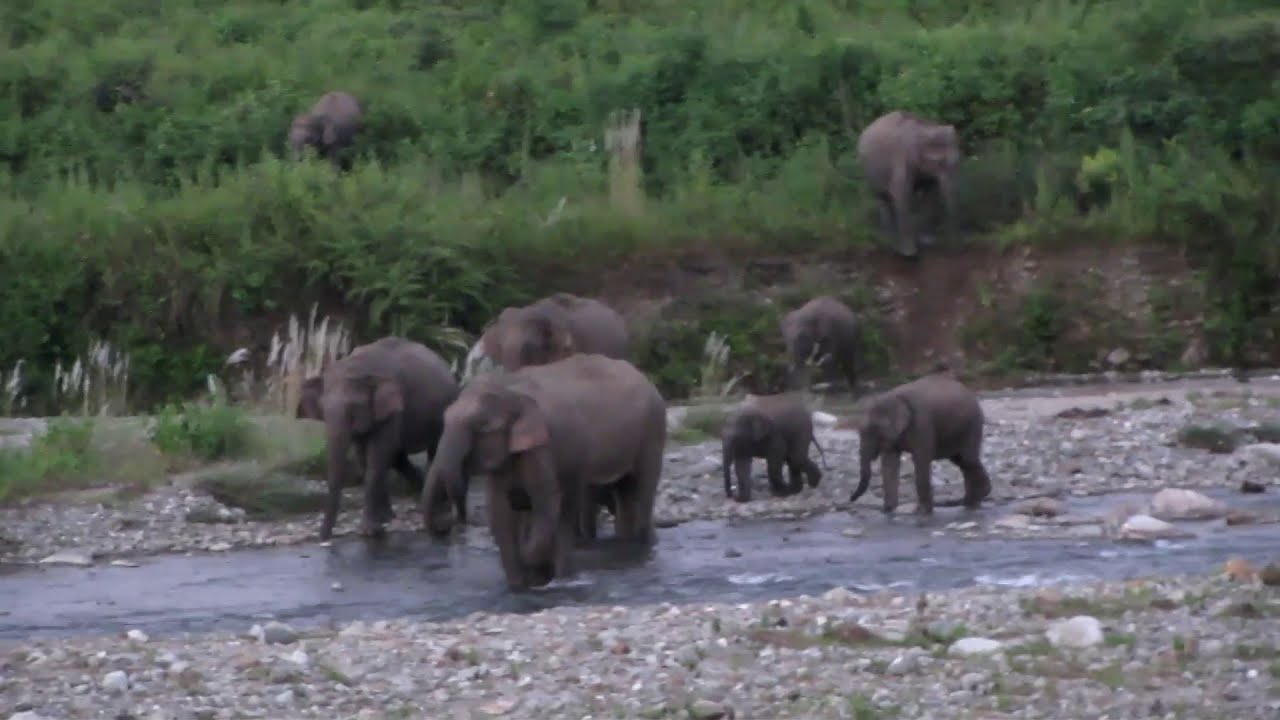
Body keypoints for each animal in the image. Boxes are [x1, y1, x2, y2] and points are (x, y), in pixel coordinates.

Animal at [295, 336, 461, 540]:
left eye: (353, 409)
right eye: (323, 410)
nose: (323, 538)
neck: (357, 367)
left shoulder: (394, 408)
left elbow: (377, 457)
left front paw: (369, 531)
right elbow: (365, 458)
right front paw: (385, 519)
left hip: (446, 408)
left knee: (433, 451)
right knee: (398, 458)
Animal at [421, 353, 666, 590]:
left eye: (482, 427)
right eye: (444, 418)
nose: (445, 525)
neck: (510, 388)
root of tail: (645, 378)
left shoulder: (544, 449)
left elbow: (545, 504)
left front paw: (535, 568)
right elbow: (500, 513)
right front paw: (519, 586)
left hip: (652, 432)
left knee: (637, 492)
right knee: (622, 494)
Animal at [847, 372, 992, 515]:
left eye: (876, 429)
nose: (850, 499)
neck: (894, 397)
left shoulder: (922, 423)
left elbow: (920, 460)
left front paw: (922, 512)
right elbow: (889, 463)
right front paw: (888, 510)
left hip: (972, 425)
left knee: (968, 460)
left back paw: (979, 496)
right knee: (961, 461)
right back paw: (971, 502)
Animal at [856, 110, 962, 258]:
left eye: (958, 161)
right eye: (940, 163)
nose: (955, 246)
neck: (927, 127)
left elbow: (930, 193)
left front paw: (928, 241)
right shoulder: (902, 158)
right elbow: (901, 194)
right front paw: (909, 254)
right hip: (868, 171)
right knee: (882, 198)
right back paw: (888, 240)